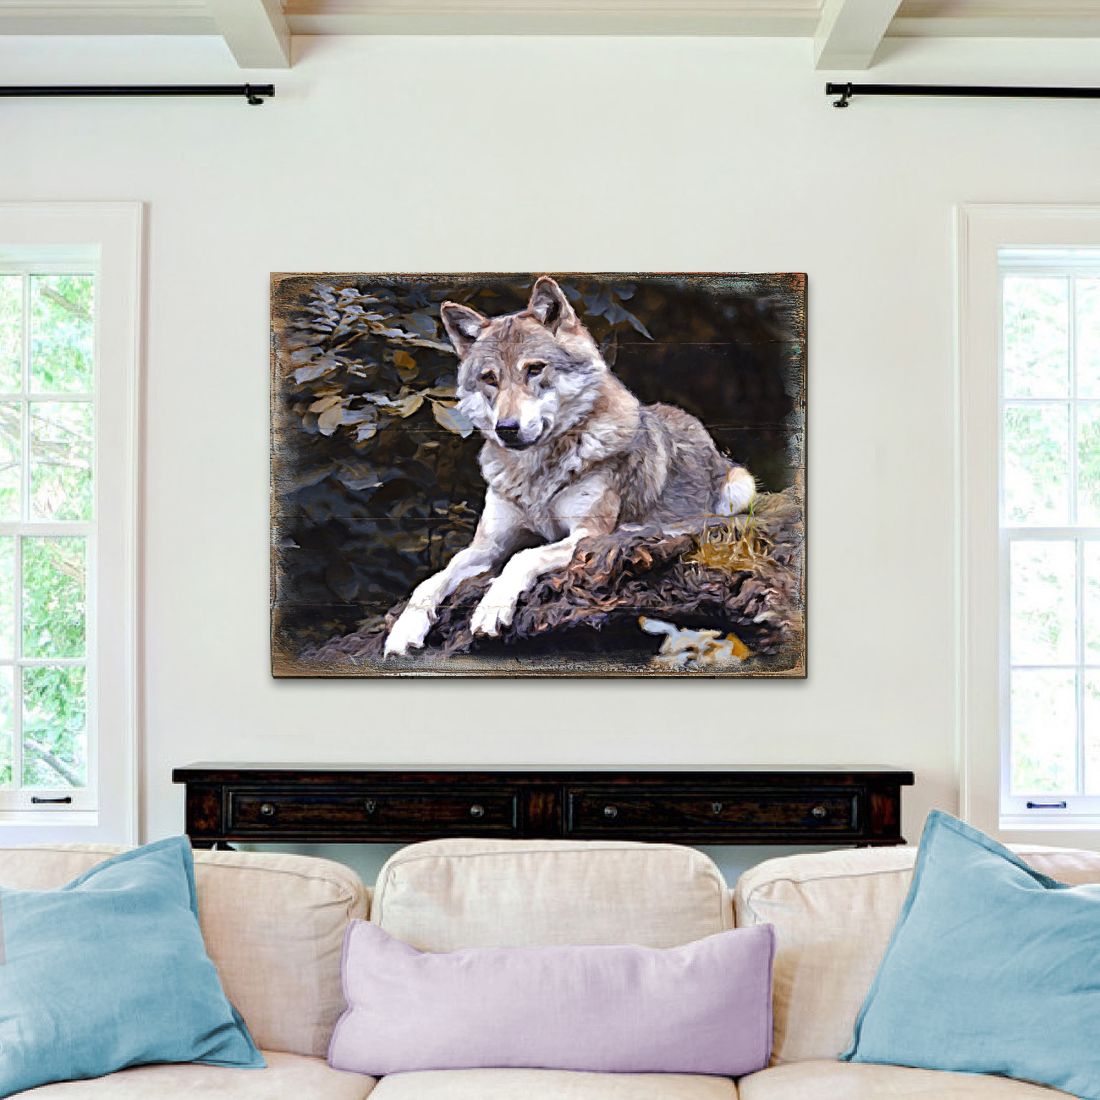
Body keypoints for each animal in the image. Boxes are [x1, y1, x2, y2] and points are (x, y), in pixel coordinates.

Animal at [382, 276, 755, 657]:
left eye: (534, 369)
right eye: (489, 378)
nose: (506, 428)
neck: (535, 474)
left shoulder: (586, 533)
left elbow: (523, 557)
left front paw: (490, 610)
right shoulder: (487, 547)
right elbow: (432, 580)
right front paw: (402, 631)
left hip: (740, 487)